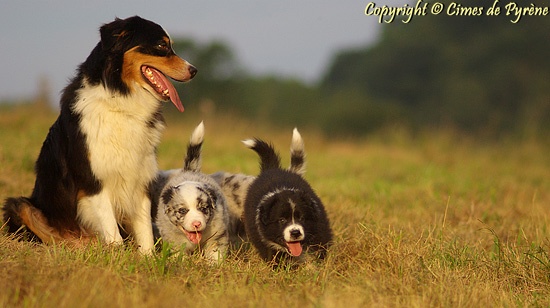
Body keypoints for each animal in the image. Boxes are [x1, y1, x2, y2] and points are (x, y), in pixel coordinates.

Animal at [150, 122, 230, 262]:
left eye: (203, 209)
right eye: (182, 211)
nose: (196, 224)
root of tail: (190, 170)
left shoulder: (217, 235)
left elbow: (215, 253)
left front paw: (214, 265)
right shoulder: (174, 240)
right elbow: (178, 254)